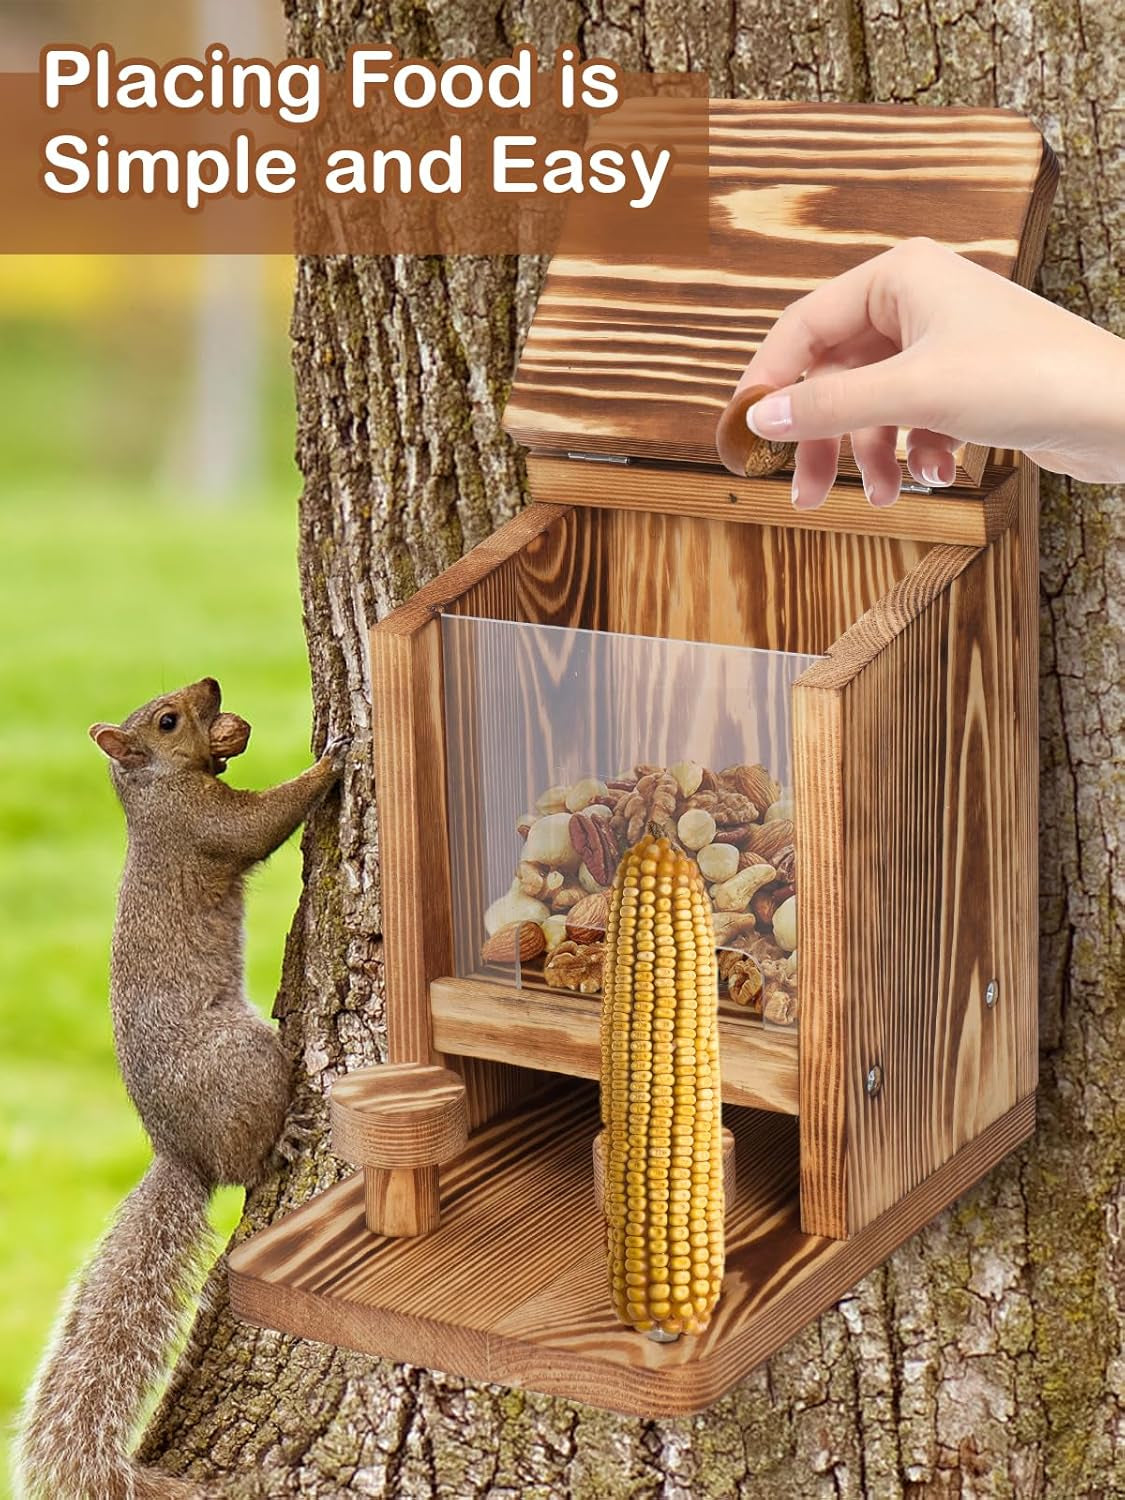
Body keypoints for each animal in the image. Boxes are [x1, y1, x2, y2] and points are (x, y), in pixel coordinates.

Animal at [15, 677, 348, 1500]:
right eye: (167, 720)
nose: (212, 686)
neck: (155, 791)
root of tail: (181, 1152)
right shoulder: (206, 827)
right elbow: (262, 821)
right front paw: (330, 760)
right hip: (244, 1060)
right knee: (249, 1161)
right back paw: (284, 1136)